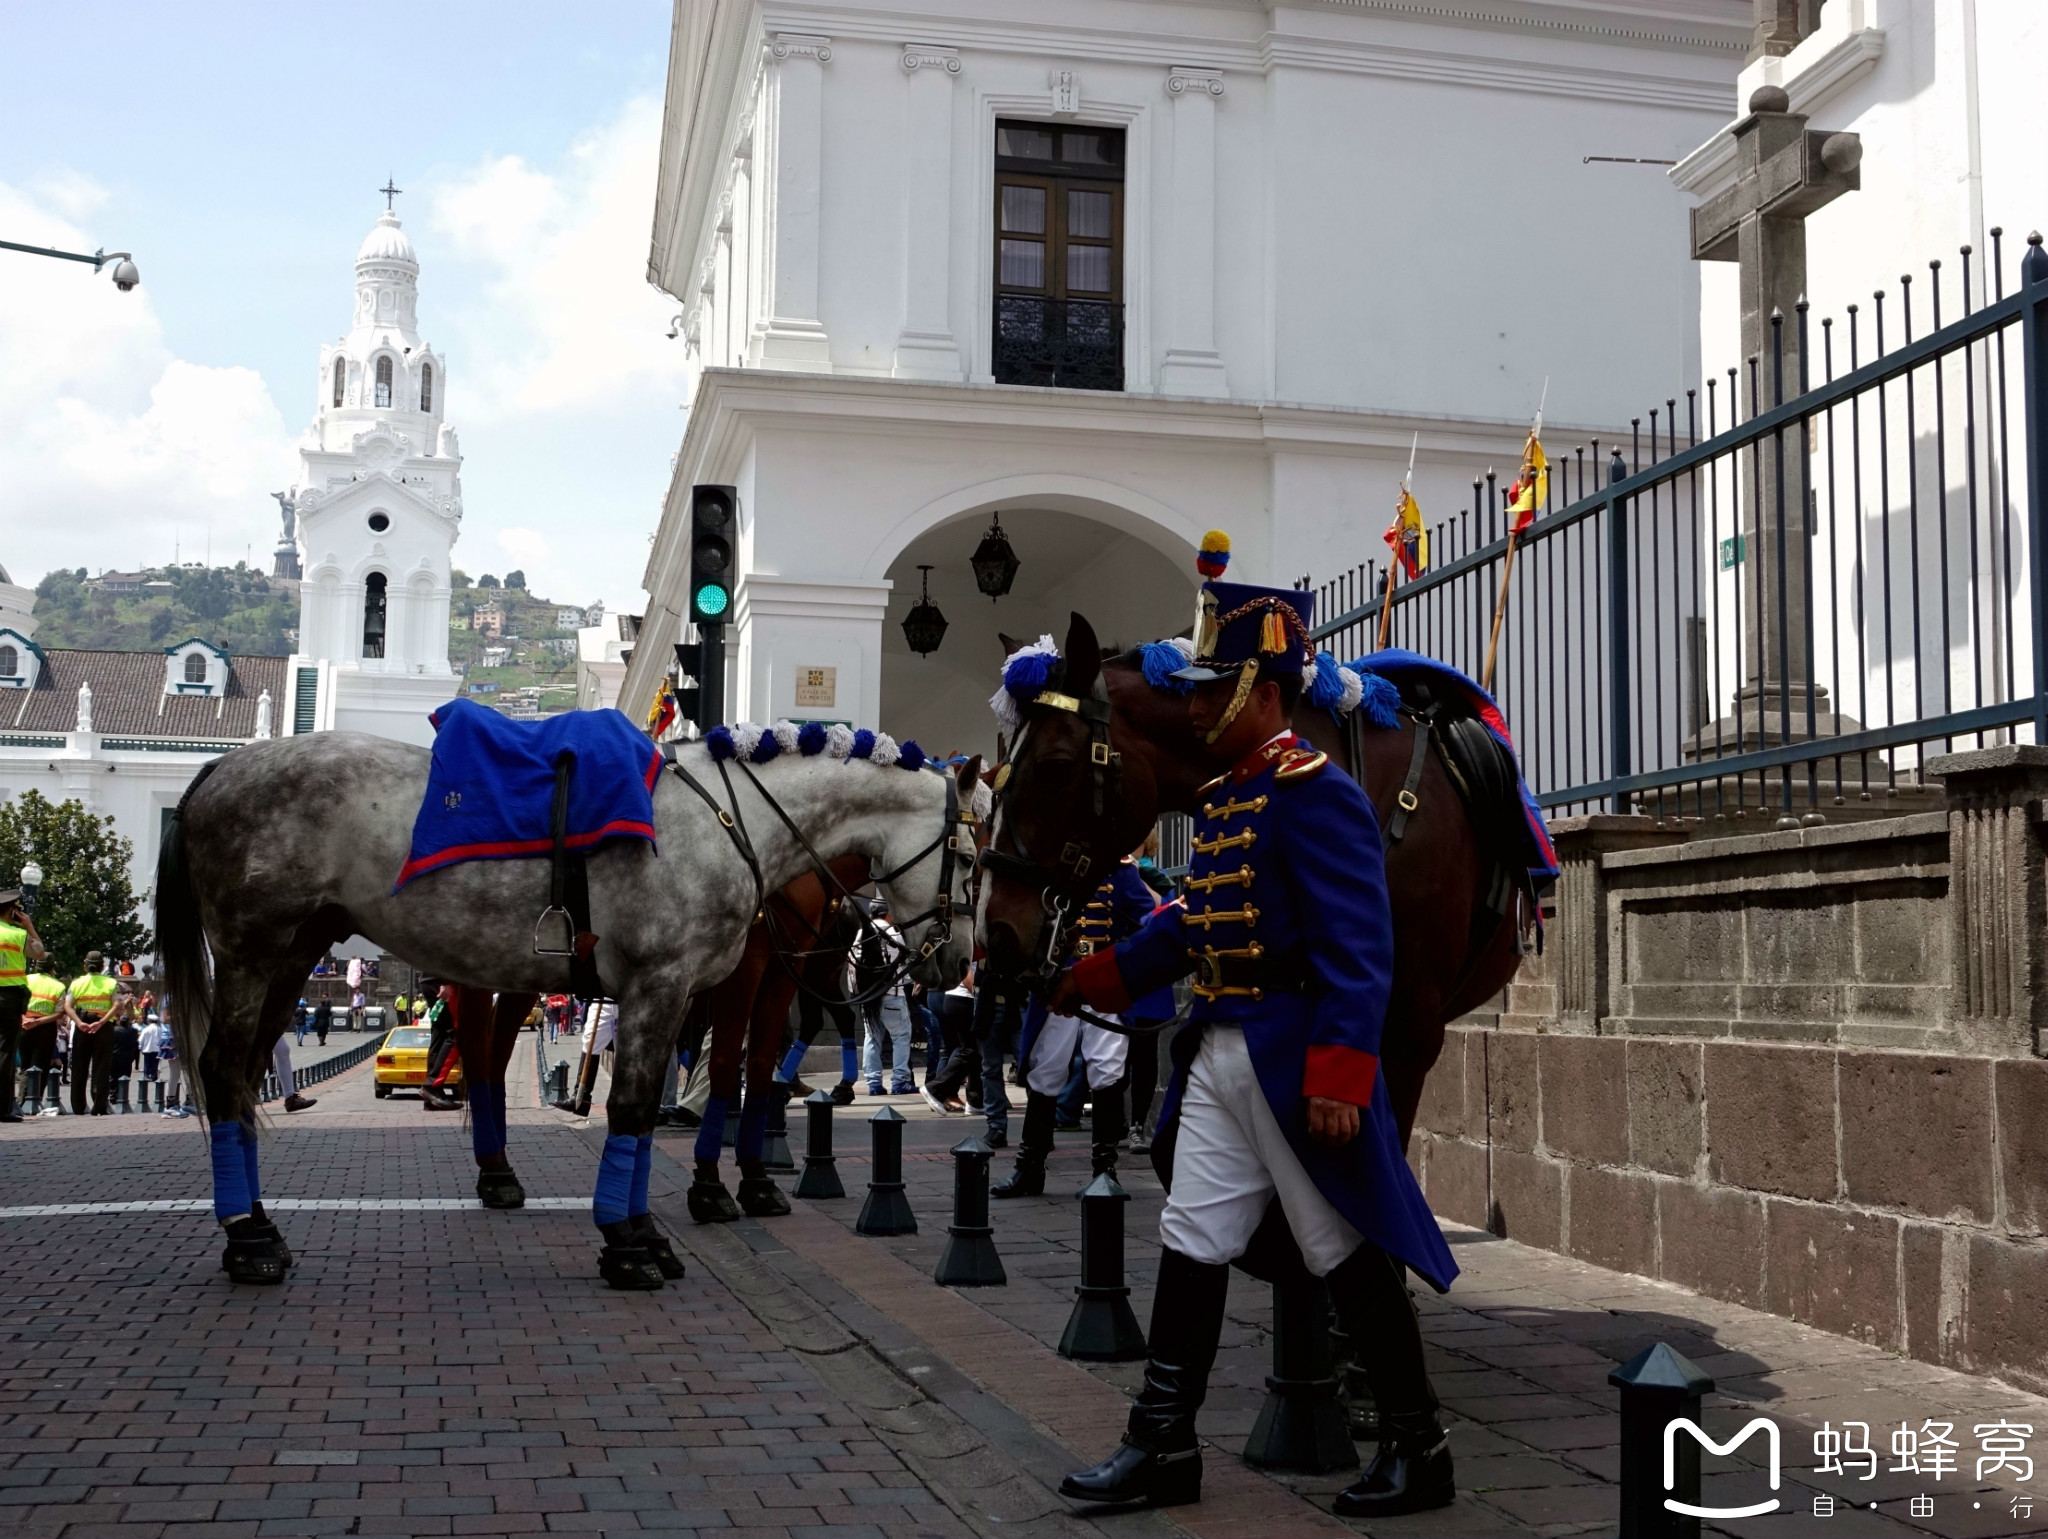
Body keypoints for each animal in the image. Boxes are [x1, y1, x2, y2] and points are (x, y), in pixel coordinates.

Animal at [159, 733, 974, 1286]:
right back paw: (251, 1237)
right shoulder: (664, 985)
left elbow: (663, 1104)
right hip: (253, 954)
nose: (960, 958)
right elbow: (638, 1108)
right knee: (226, 1068)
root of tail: (218, 770)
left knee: (249, 1075)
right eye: (970, 855)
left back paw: (262, 1223)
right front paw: (632, 1241)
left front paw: (651, 1224)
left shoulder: (686, 994)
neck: (719, 821)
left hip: (294, 955)